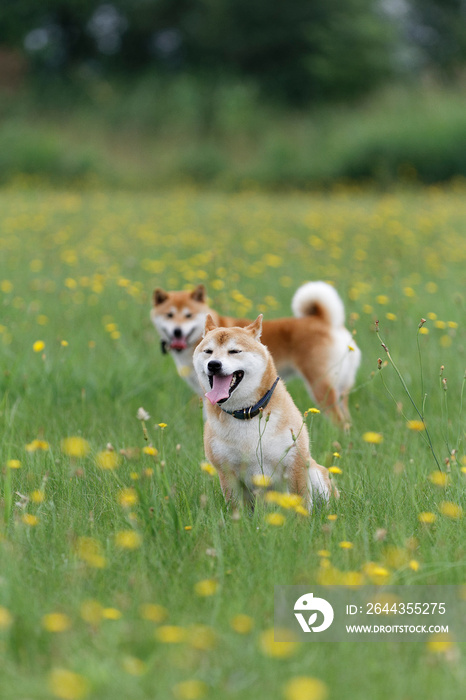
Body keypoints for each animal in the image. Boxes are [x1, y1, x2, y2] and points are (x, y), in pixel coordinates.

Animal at [151, 280, 362, 424]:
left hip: (321, 387)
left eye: (189, 315)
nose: (177, 331)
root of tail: (325, 321)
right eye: (169, 315)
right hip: (340, 388)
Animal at [191, 316, 336, 508]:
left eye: (234, 351)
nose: (214, 364)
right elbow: (236, 508)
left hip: (315, 472)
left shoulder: (294, 462)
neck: (245, 413)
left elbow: (300, 502)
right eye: (208, 351)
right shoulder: (227, 472)